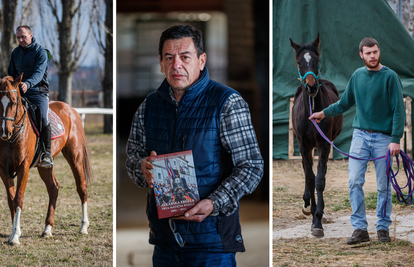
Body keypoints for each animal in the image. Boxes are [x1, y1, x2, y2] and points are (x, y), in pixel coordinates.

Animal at [0, 74, 92, 246]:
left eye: (14, 101)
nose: (4, 132)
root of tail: (71, 110)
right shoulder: (3, 169)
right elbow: (11, 199)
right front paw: (13, 233)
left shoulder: (23, 167)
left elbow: (18, 199)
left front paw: (15, 236)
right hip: (44, 166)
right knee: (53, 188)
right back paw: (47, 228)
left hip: (75, 157)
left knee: (81, 187)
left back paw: (83, 227)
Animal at [288, 34, 342, 238]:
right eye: (299, 62)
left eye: (317, 60)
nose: (311, 87)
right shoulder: (303, 144)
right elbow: (310, 177)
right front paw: (311, 212)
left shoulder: (323, 144)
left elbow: (319, 180)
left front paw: (318, 219)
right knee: (306, 168)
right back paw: (306, 203)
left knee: (321, 171)